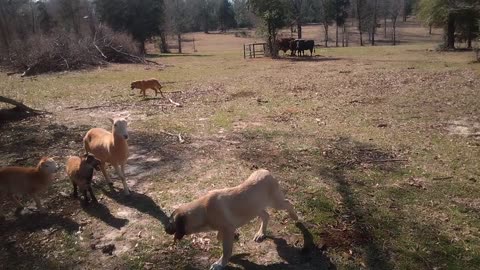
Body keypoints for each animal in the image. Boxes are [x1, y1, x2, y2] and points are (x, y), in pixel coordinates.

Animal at [167, 170, 298, 268]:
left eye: (172, 223)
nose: (166, 230)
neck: (204, 211)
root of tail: (266, 171)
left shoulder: (227, 228)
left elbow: (226, 250)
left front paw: (220, 263)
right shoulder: (226, 228)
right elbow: (220, 237)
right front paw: (235, 237)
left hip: (275, 202)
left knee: (288, 203)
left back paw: (295, 217)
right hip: (255, 207)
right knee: (266, 215)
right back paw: (261, 233)